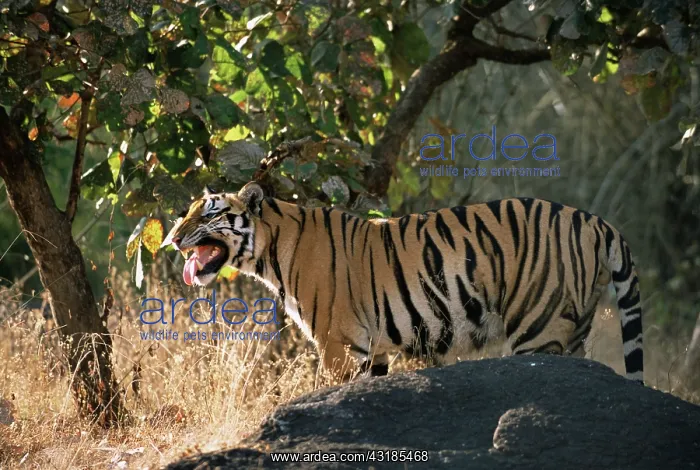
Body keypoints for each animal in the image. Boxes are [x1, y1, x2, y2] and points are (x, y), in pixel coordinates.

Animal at [162, 182, 644, 384]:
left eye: (207, 214)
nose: (172, 237)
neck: (271, 248)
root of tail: (597, 221)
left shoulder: (339, 345)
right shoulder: (372, 350)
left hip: (539, 328)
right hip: (574, 329)